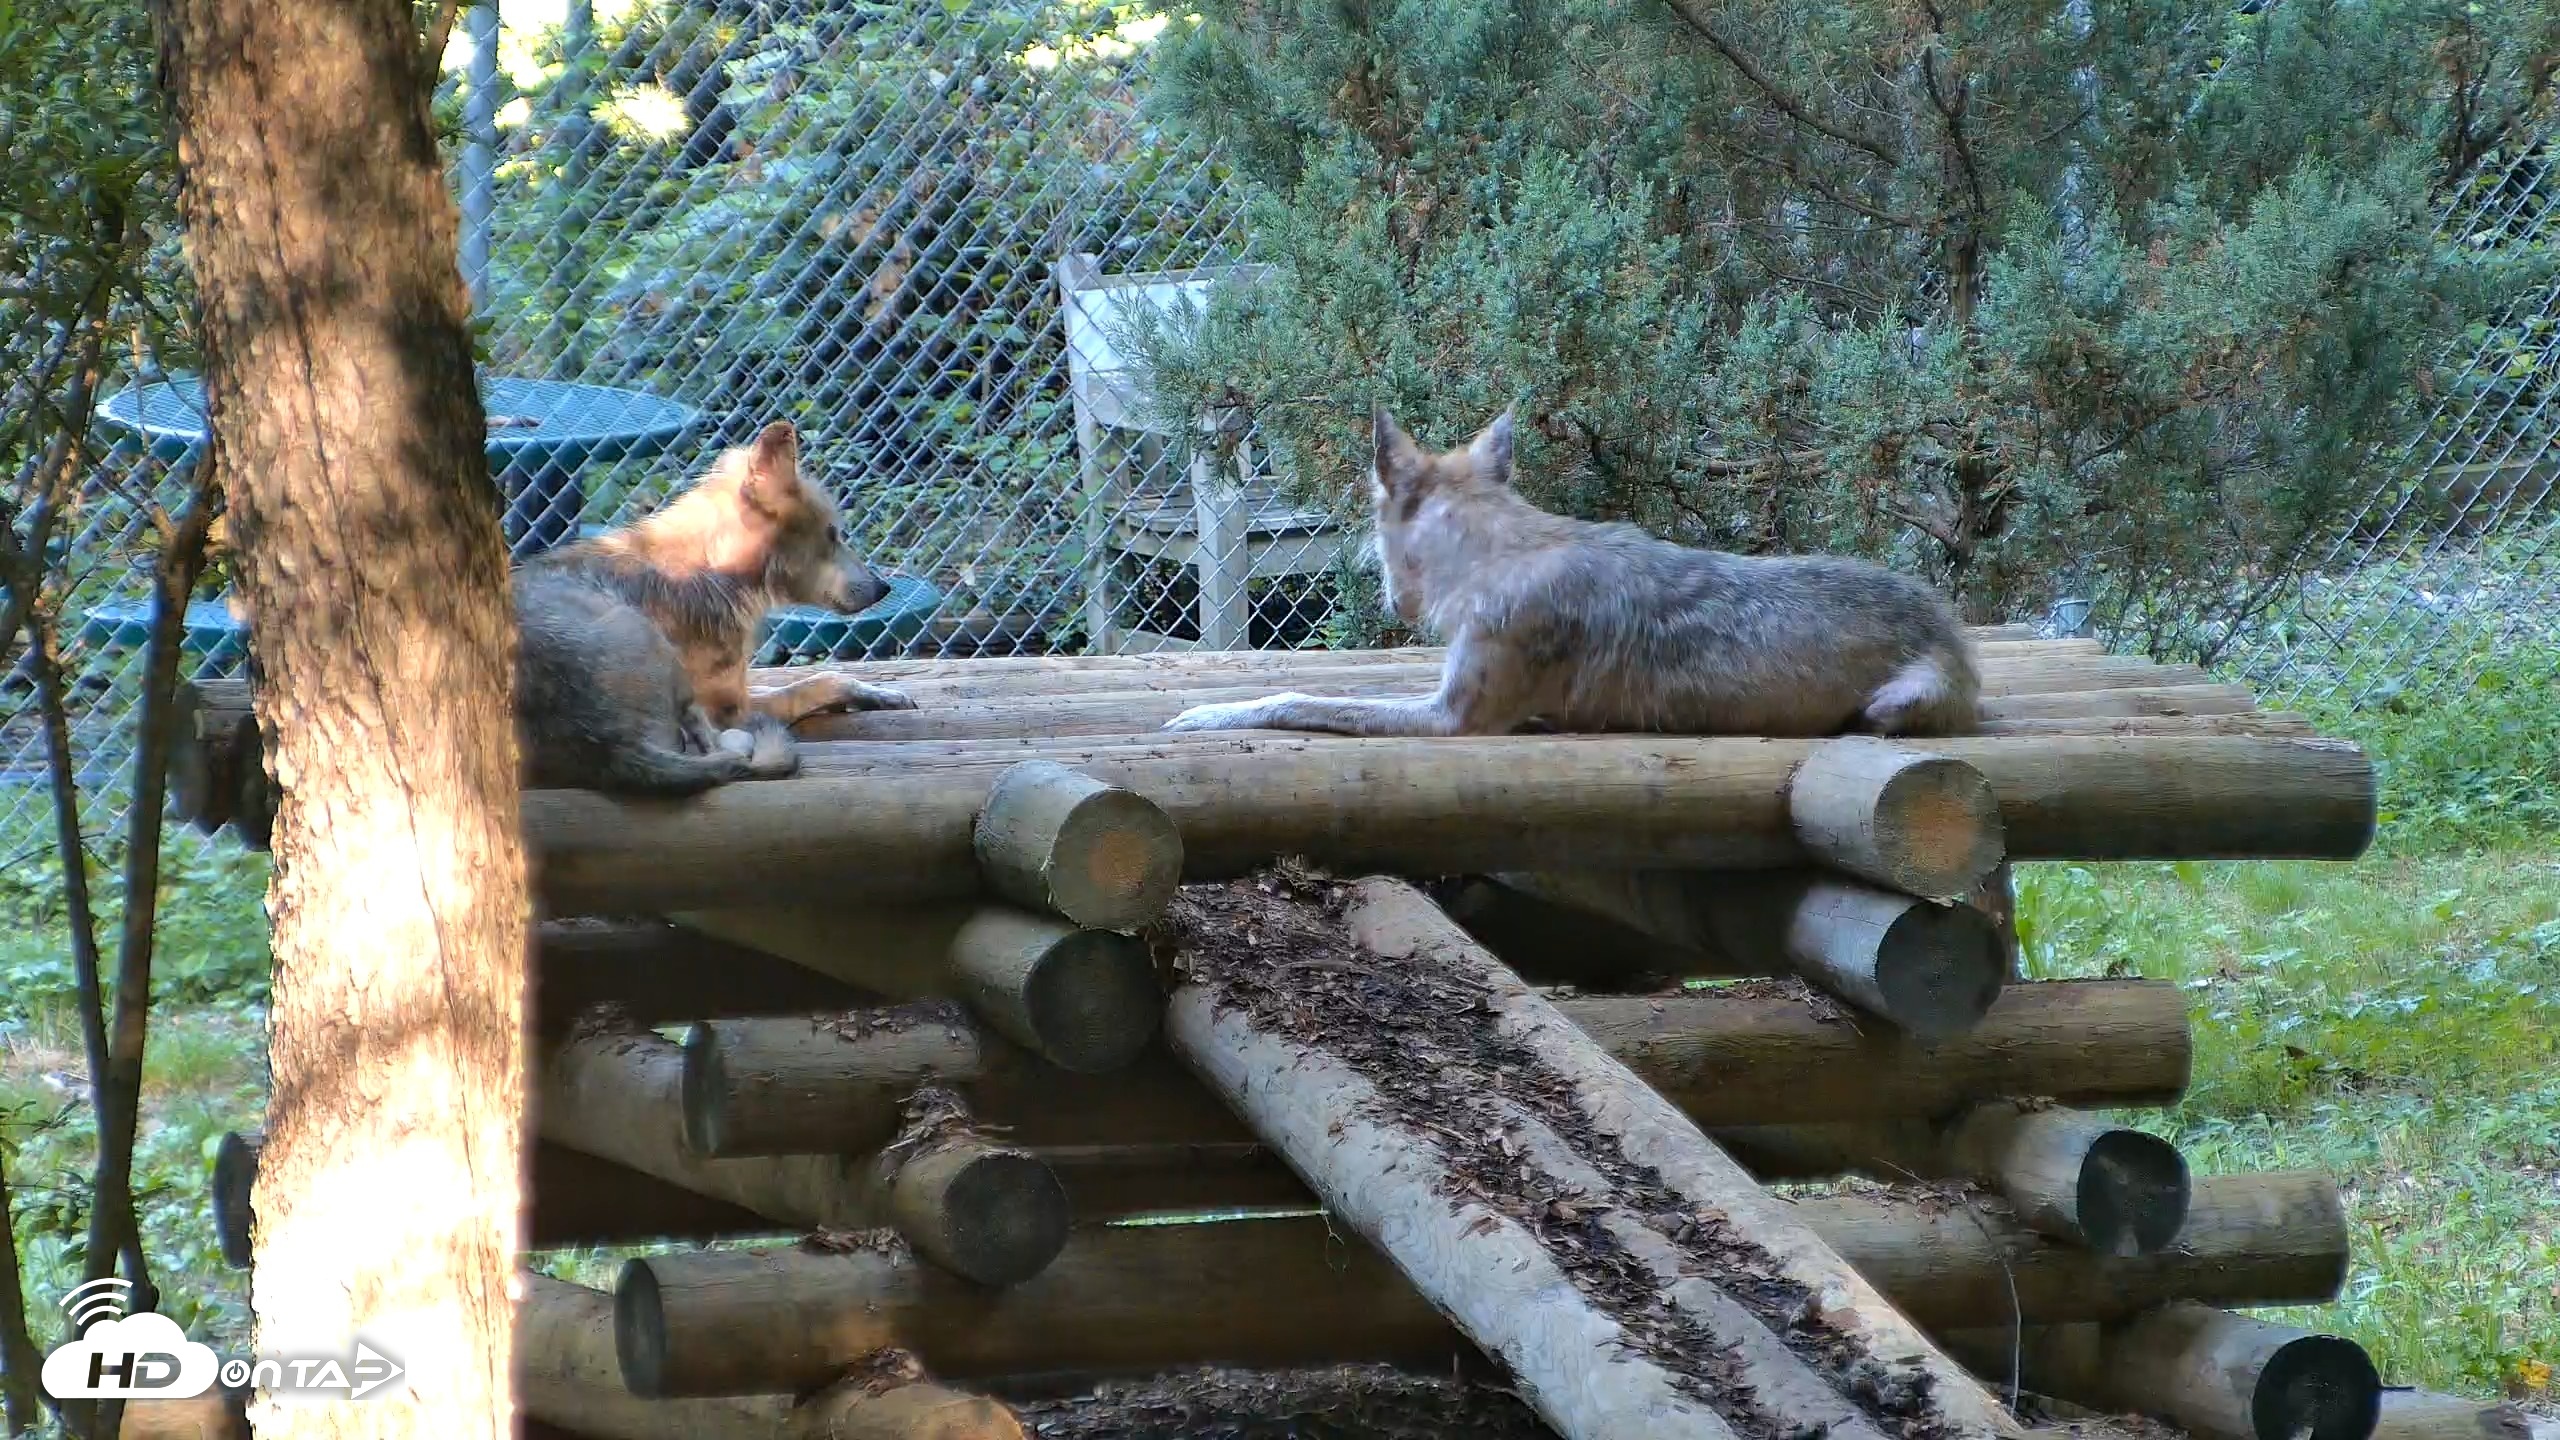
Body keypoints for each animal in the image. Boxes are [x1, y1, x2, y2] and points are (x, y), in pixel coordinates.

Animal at [514, 418, 913, 795]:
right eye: (832, 535)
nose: (884, 588)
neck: (715, 567)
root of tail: (616, 749)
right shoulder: (736, 708)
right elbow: (823, 680)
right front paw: (876, 693)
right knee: (724, 749)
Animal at [1162, 406, 1979, 739]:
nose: (1395, 604)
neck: (1500, 551)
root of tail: (1949, 631)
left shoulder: (1452, 719)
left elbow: (1295, 698)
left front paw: (1207, 715)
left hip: (1893, 705)